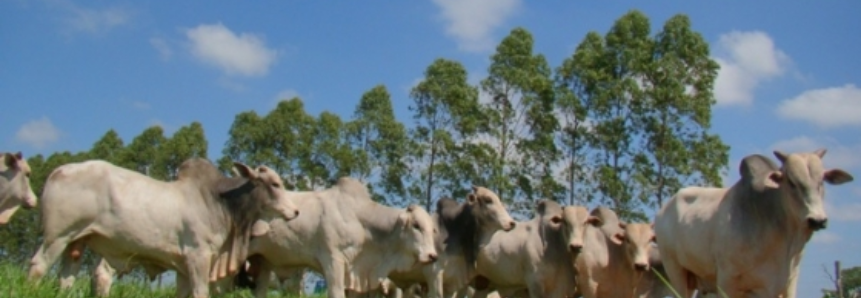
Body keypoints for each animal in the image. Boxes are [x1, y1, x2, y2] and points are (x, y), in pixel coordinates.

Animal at [28, 158, 298, 298]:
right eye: (275, 184)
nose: (295, 212)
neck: (219, 201)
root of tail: (59, 170)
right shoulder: (199, 256)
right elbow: (201, 292)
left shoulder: (183, 266)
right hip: (57, 236)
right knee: (38, 266)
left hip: (76, 241)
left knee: (66, 278)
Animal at [247, 177, 436, 298]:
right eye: (416, 225)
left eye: (433, 230)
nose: (433, 256)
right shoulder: (333, 259)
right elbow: (336, 292)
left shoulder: (356, 274)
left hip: (263, 262)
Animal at [656, 150, 848, 296]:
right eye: (792, 182)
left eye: (821, 182)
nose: (817, 220)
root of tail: (662, 212)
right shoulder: (727, 281)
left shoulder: (788, 281)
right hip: (675, 270)